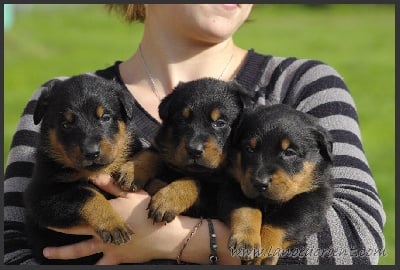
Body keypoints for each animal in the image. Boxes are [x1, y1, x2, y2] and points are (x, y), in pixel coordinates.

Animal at [23, 74, 142, 264]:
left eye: (105, 117)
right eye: (66, 124)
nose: (91, 152)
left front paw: (130, 172)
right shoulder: (40, 196)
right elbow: (86, 194)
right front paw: (113, 223)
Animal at [125, 78, 253, 224]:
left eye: (220, 123)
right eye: (182, 120)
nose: (194, 150)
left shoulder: (214, 197)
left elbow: (194, 181)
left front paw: (167, 199)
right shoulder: (161, 146)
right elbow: (151, 154)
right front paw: (131, 171)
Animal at [219, 104, 334, 264]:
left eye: (289, 152)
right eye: (249, 149)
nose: (260, 183)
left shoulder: (314, 197)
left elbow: (281, 221)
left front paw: (264, 252)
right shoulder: (231, 184)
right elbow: (245, 208)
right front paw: (245, 239)